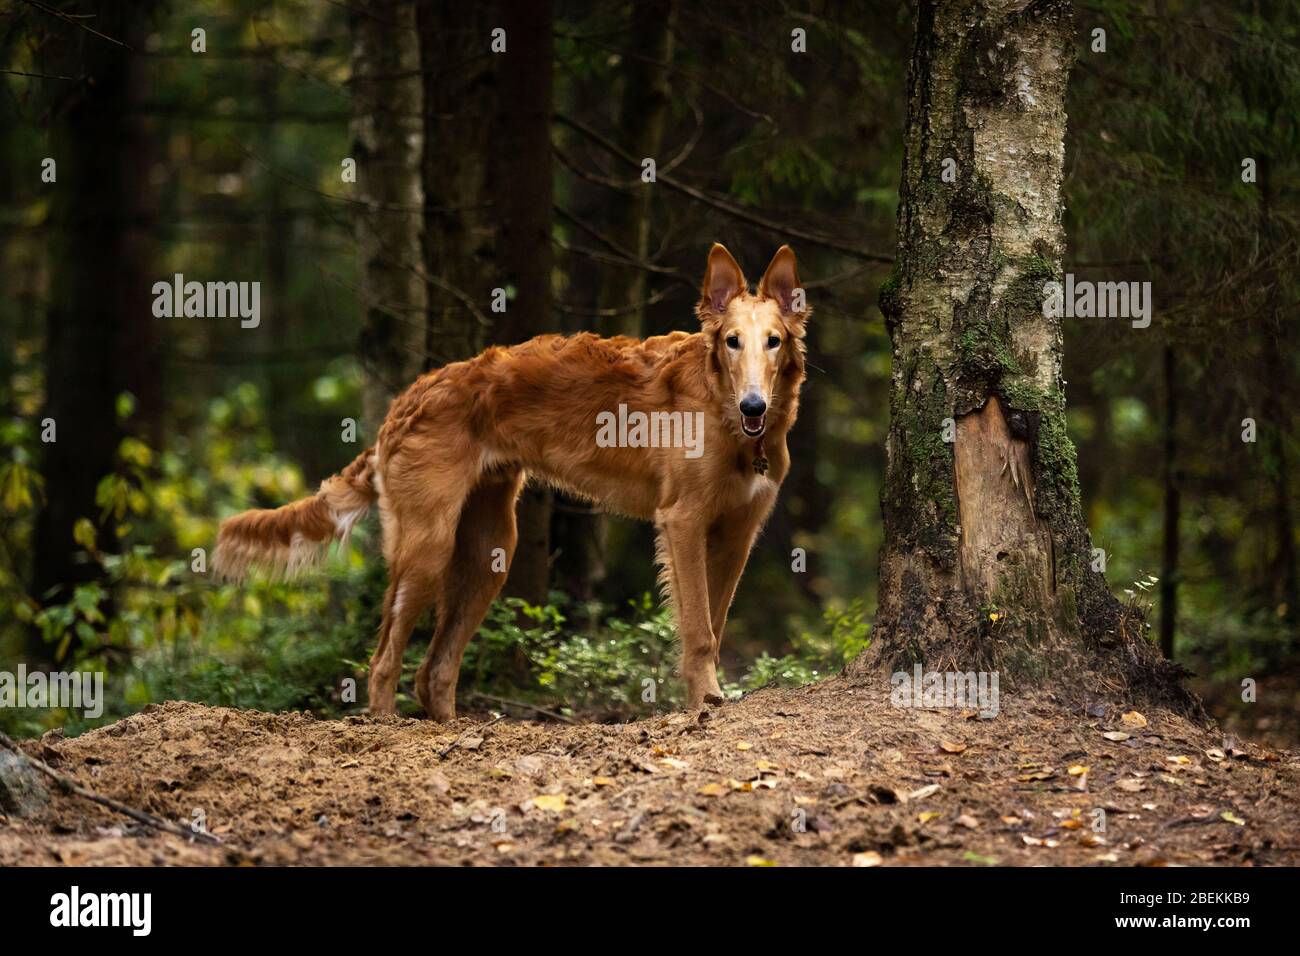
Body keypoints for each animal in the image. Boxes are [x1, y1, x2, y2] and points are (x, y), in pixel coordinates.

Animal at [211, 244, 800, 717]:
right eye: (731, 342)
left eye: (773, 342)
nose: (754, 406)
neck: (730, 420)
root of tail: (411, 396)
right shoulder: (682, 522)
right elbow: (699, 631)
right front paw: (706, 704)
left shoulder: (737, 535)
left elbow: (716, 626)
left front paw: (710, 700)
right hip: (427, 549)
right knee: (383, 663)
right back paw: (386, 729)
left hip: (490, 552)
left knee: (433, 671)